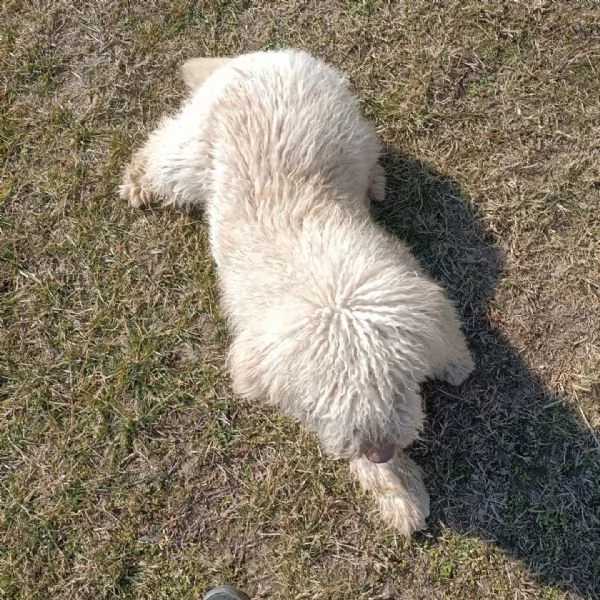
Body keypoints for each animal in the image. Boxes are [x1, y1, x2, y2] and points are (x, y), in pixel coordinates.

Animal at [118, 48, 474, 536]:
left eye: (393, 380)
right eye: (328, 398)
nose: (379, 448)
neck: (319, 272)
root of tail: (256, 56)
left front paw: (453, 365)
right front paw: (397, 491)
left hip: (355, 128)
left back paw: (375, 182)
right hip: (188, 158)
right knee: (158, 152)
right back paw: (137, 182)